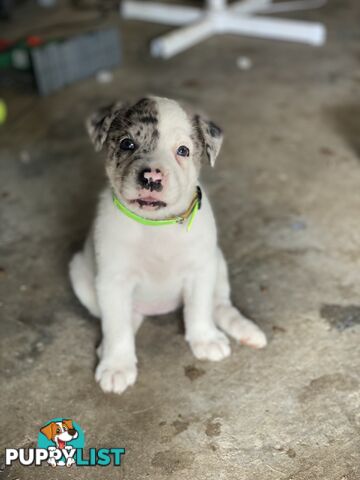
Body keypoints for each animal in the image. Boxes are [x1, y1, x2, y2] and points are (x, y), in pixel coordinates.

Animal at [69, 94, 268, 394]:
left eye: (183, 151)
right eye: (127, 144)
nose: (151, 178)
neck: (155, 225)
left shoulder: (200, 270)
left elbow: (199, 307)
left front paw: (204, 338)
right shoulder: (113, 280)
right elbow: (116, 325)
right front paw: (117, 365)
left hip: (218, 262)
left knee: (218, 303)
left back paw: (243, 329)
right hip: (81, 276)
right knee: (127, 317)